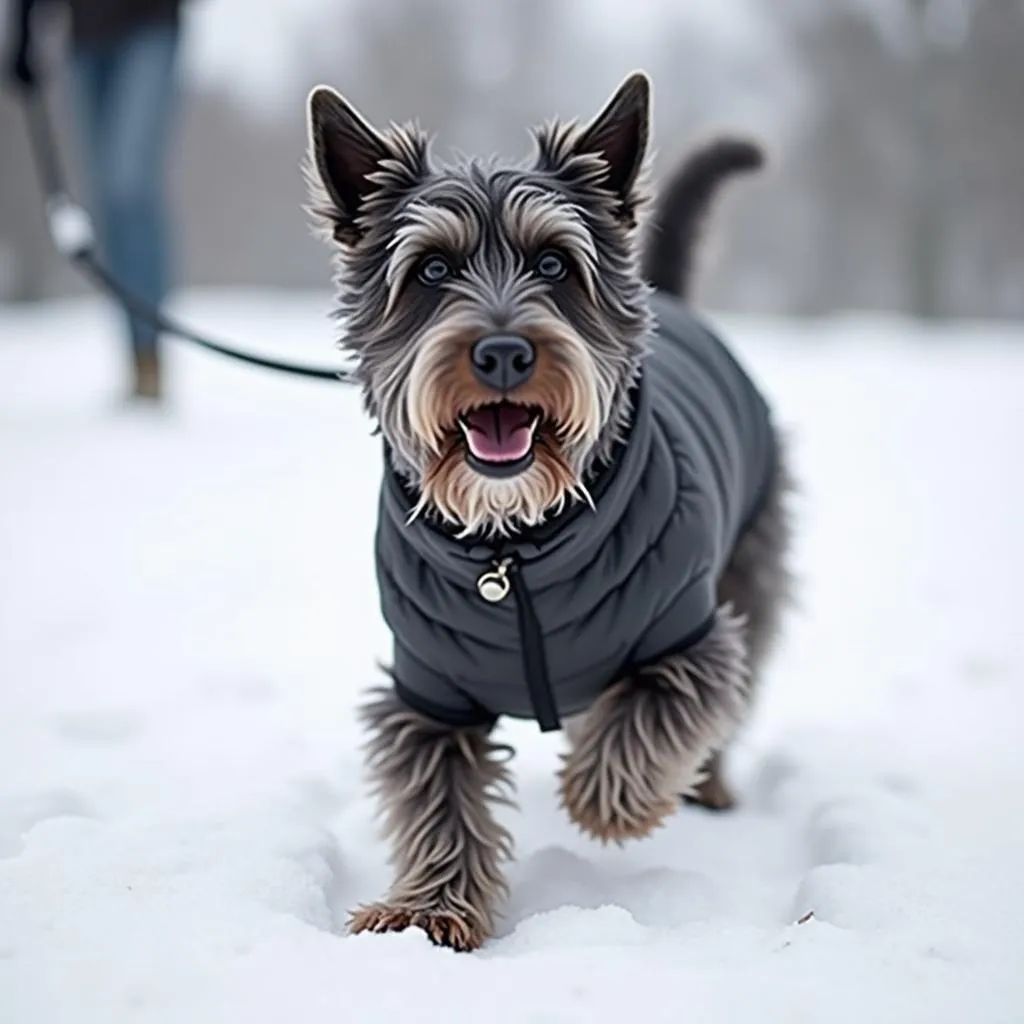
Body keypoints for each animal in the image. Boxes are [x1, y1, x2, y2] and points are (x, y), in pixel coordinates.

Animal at [303, 70, 790, 950]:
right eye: (431, 271)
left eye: (556, 262)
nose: (503, 352)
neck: (516, 543)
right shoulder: (425, 685)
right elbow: (436, 795)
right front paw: (428, 910)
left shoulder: (687, 636)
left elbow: (660, 711)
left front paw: (605, 801)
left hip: (752, 557)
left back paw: (708, 784)